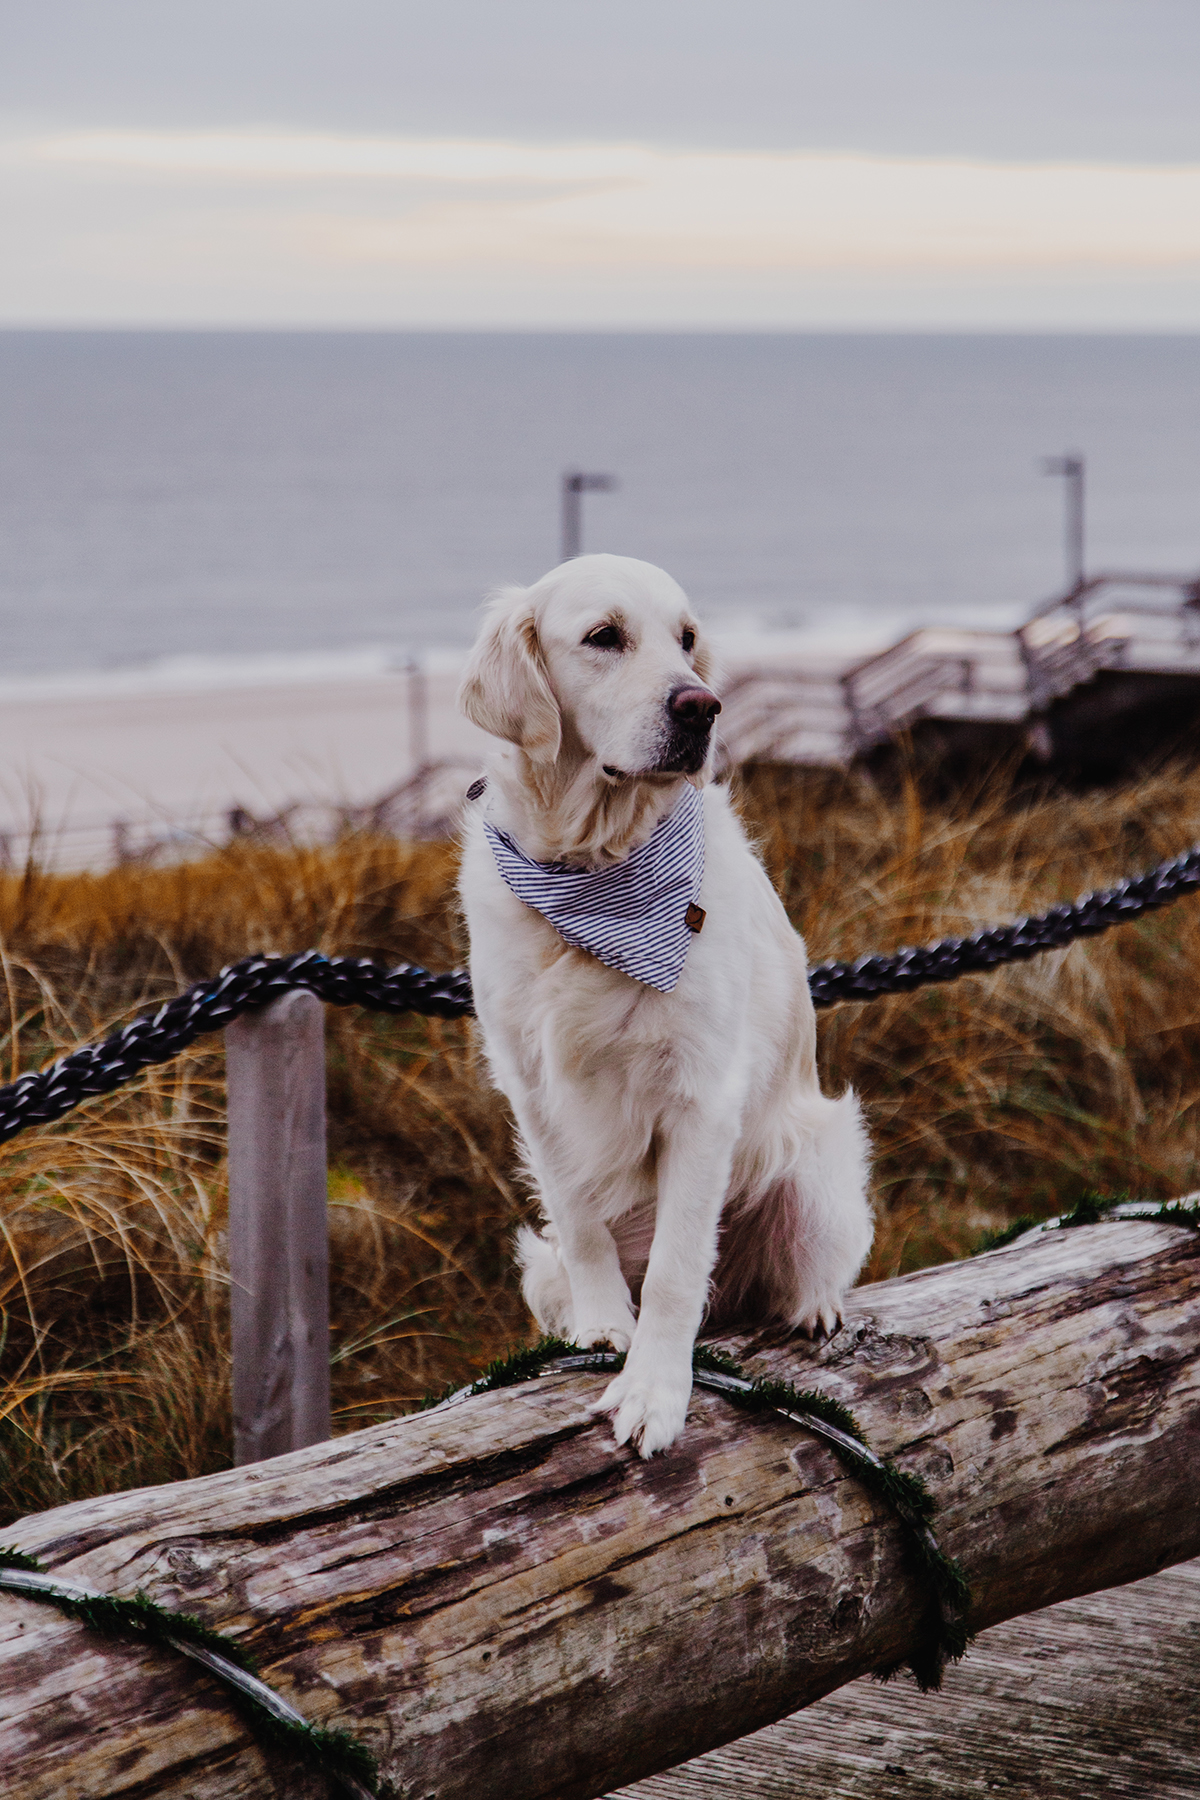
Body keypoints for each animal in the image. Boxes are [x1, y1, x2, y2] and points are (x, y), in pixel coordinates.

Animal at [456, 554, 874, 1454]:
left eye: (687, 640)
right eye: (604, 636)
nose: (701, 705)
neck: (595, 869)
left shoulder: (701, 1095)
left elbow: (680, 1272)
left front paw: (653, 1392)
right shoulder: (533, 1088)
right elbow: (582, 1218)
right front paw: (606, 1326)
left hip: (813, 1171)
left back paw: (814, 1306)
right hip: (537, 1261)